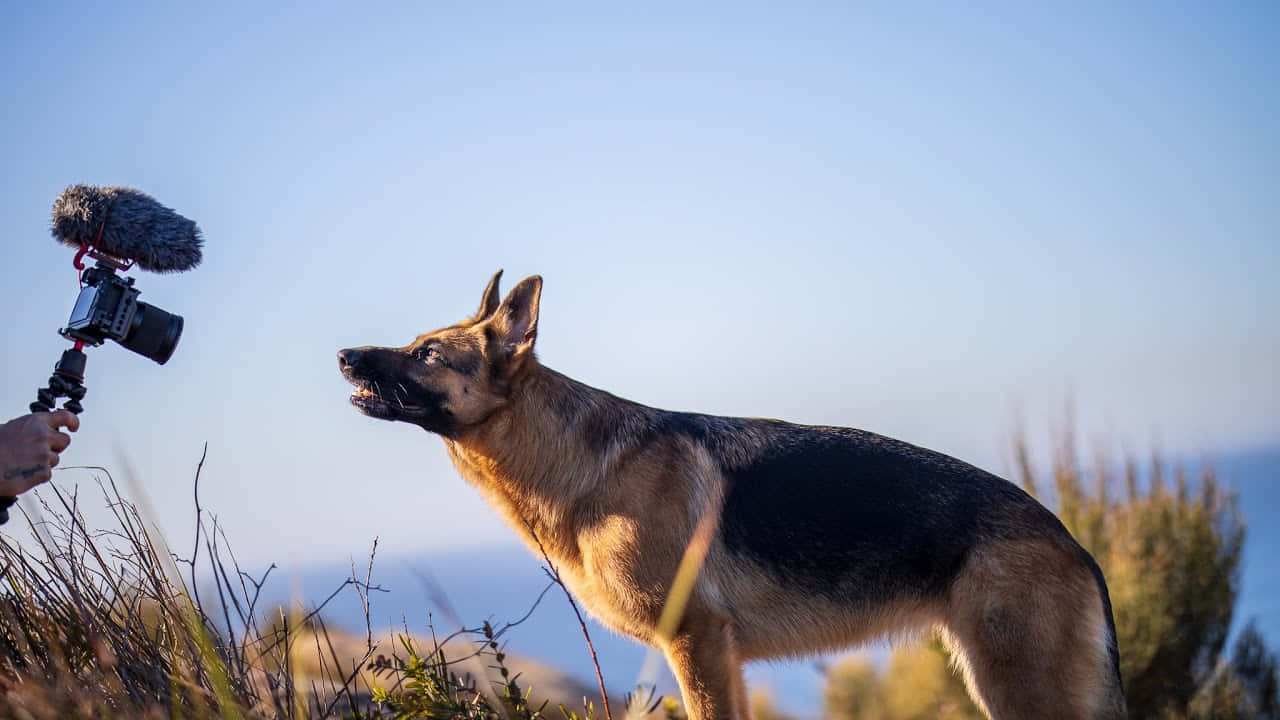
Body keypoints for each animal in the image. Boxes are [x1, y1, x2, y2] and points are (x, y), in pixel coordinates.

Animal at [340, 270, 1131, 717]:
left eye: (427, 354)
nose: (344, 354)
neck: (583, 464)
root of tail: (1070, 539)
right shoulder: (719, 658)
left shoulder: (698, 644)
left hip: (1022, 693)